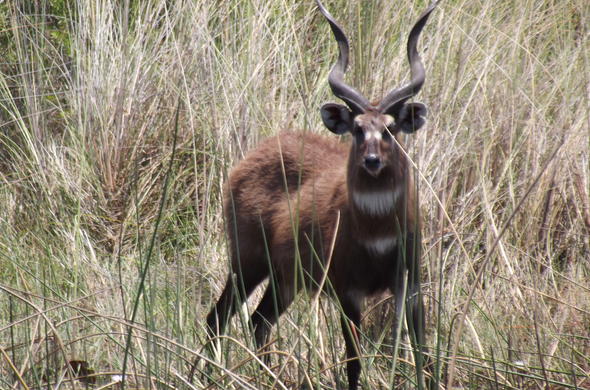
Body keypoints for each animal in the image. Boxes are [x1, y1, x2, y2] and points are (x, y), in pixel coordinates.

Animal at [206, 1, 438, 388]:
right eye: (358, 128)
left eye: (390, 128)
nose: (372, 161)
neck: (377, 232)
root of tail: (248, 159)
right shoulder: (348, 291)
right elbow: (354, 362)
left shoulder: (410, 285)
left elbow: (423, 355)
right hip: (248, 260)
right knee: (218, 316)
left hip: (284, 277)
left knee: (258, 320)